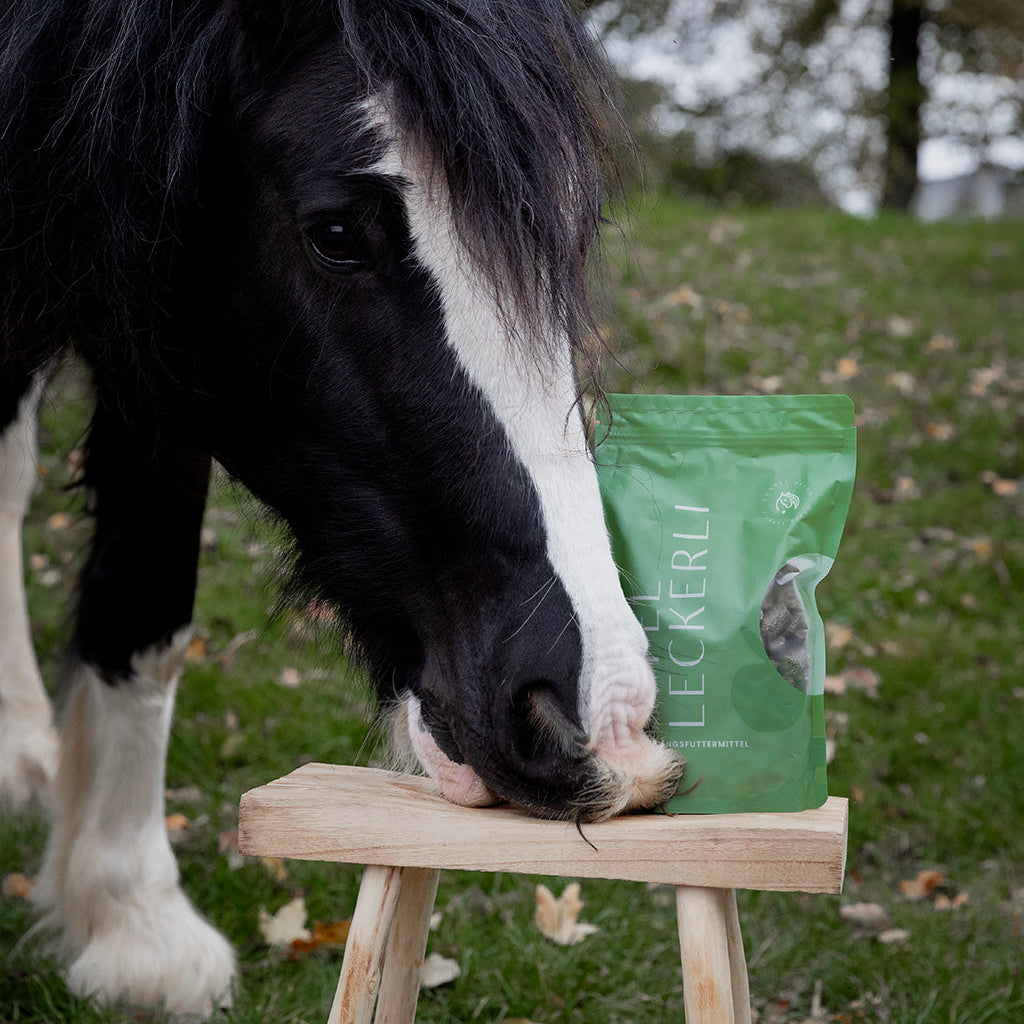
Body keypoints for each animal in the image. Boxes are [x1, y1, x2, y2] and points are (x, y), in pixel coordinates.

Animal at [0, 0, 684, 1014]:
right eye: (333, 233)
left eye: (572, 227)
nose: (598, 716)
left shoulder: (157, 339)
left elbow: (147, 609)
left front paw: (131, 921)